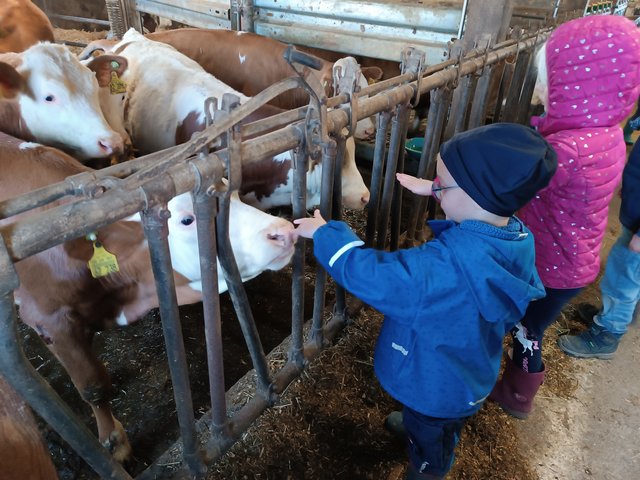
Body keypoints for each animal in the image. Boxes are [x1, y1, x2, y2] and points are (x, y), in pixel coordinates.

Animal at [0, 131, 296, 462]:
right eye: (186, 220)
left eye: (235, 196)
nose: (284, 231)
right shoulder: (50, 320)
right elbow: (93, 386)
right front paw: (113, 441)